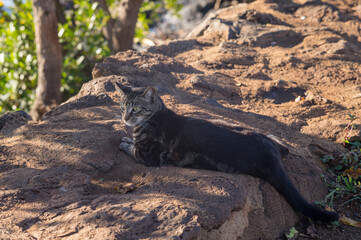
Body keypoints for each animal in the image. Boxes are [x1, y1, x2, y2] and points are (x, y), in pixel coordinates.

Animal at [114, 83, 338, 222]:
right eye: (123, 107)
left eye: (136, 109)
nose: (125, 118)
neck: (154, 117)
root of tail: (269, 154)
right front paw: (126, 136)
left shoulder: (148, 156)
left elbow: (131, 148)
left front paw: (124, 141)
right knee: (284, 147)